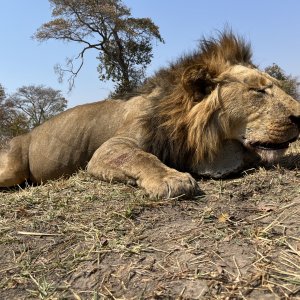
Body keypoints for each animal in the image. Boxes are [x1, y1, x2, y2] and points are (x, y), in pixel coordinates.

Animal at [0, 32, 300, 199]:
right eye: (257, 90)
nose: (299, 117)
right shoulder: (110, 148)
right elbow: (140, 156)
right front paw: (171, 179)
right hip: (11, 168)